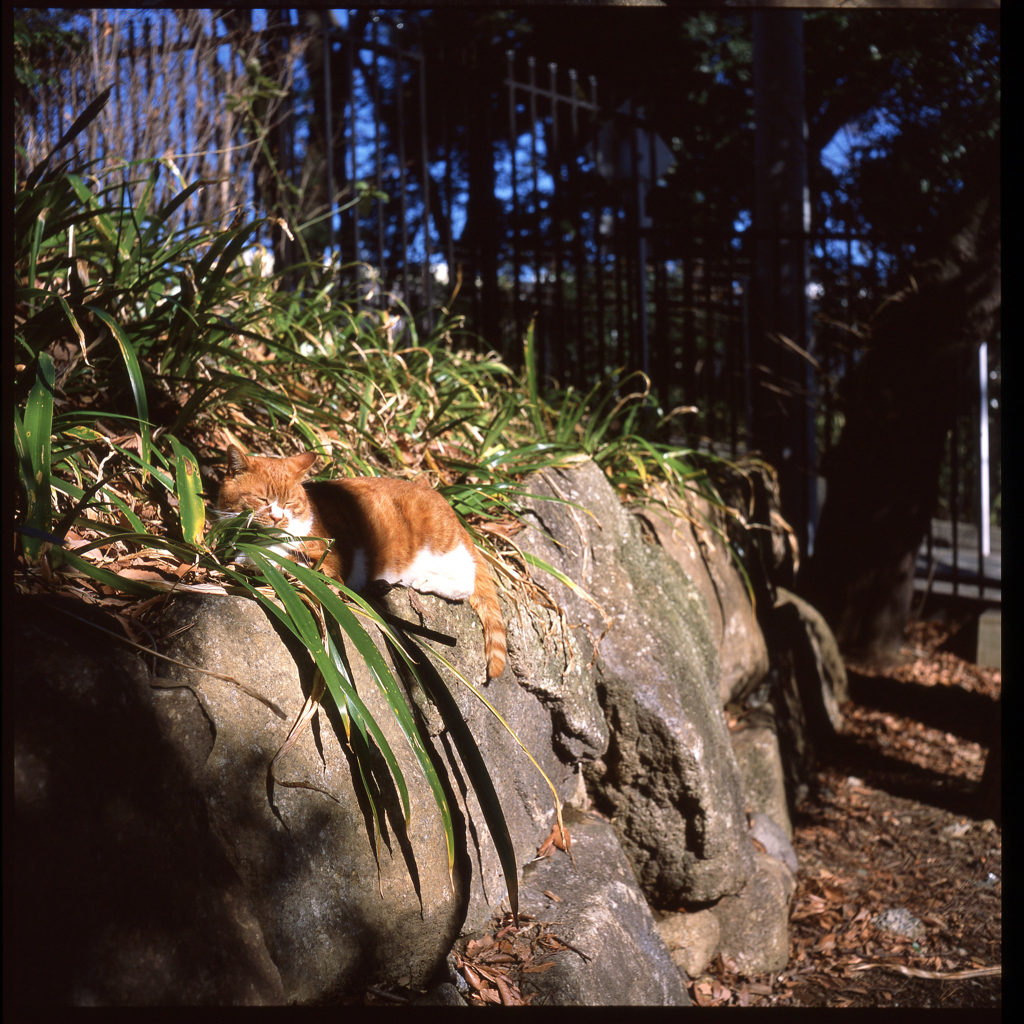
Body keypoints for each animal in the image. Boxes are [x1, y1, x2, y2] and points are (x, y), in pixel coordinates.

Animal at [216, 446, 507, 679]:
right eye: (262, 499)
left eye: (289, 502)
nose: (278, 518)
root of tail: (458, 520)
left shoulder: (328, 561)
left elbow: (284, 558)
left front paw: (259, 558)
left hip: (444, 548)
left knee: (467, 582)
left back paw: (425, 581)